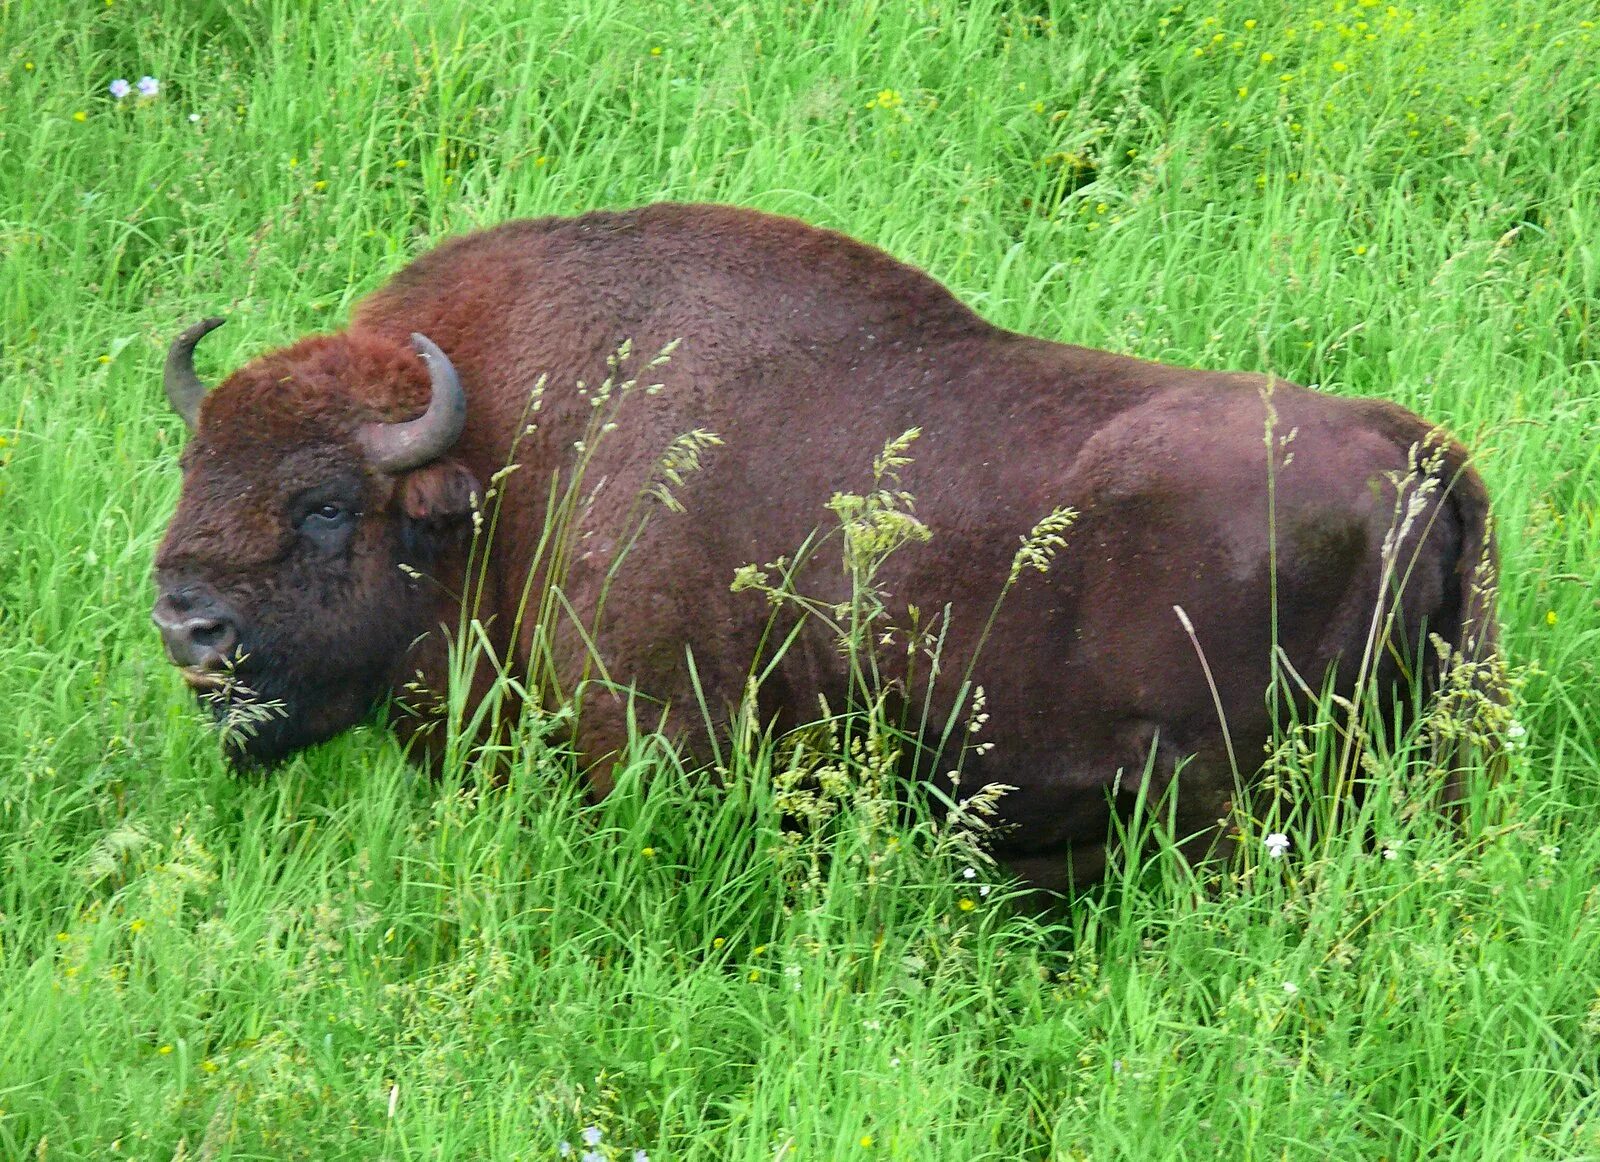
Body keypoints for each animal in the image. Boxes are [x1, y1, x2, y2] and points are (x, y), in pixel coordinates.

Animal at [156, 204, 1491, 889]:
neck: (512, 452)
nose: (184, 619)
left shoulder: (657, 740)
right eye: (192, 464)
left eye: (329, 503)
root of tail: (1419, 453)